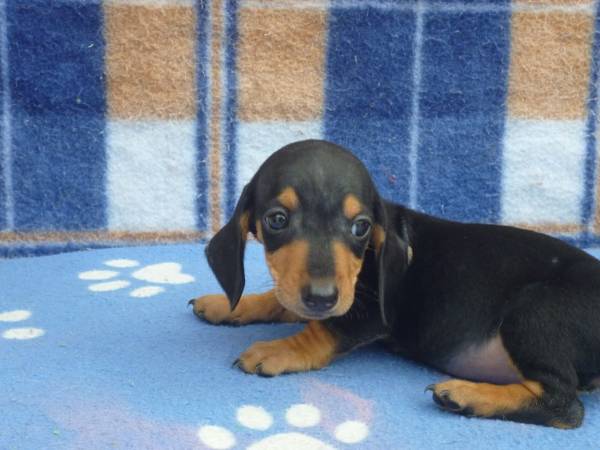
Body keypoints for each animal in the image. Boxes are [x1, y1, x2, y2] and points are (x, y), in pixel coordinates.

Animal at [189, 139, 600, 428]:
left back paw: (466, 395)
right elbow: (279, 298)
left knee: (565, 407)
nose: (322, 298)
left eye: (361, 226)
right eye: (276, 219)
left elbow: (323, 331)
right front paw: (227, 305)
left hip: (533, 312)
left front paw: (277, 351)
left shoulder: (369, 311)